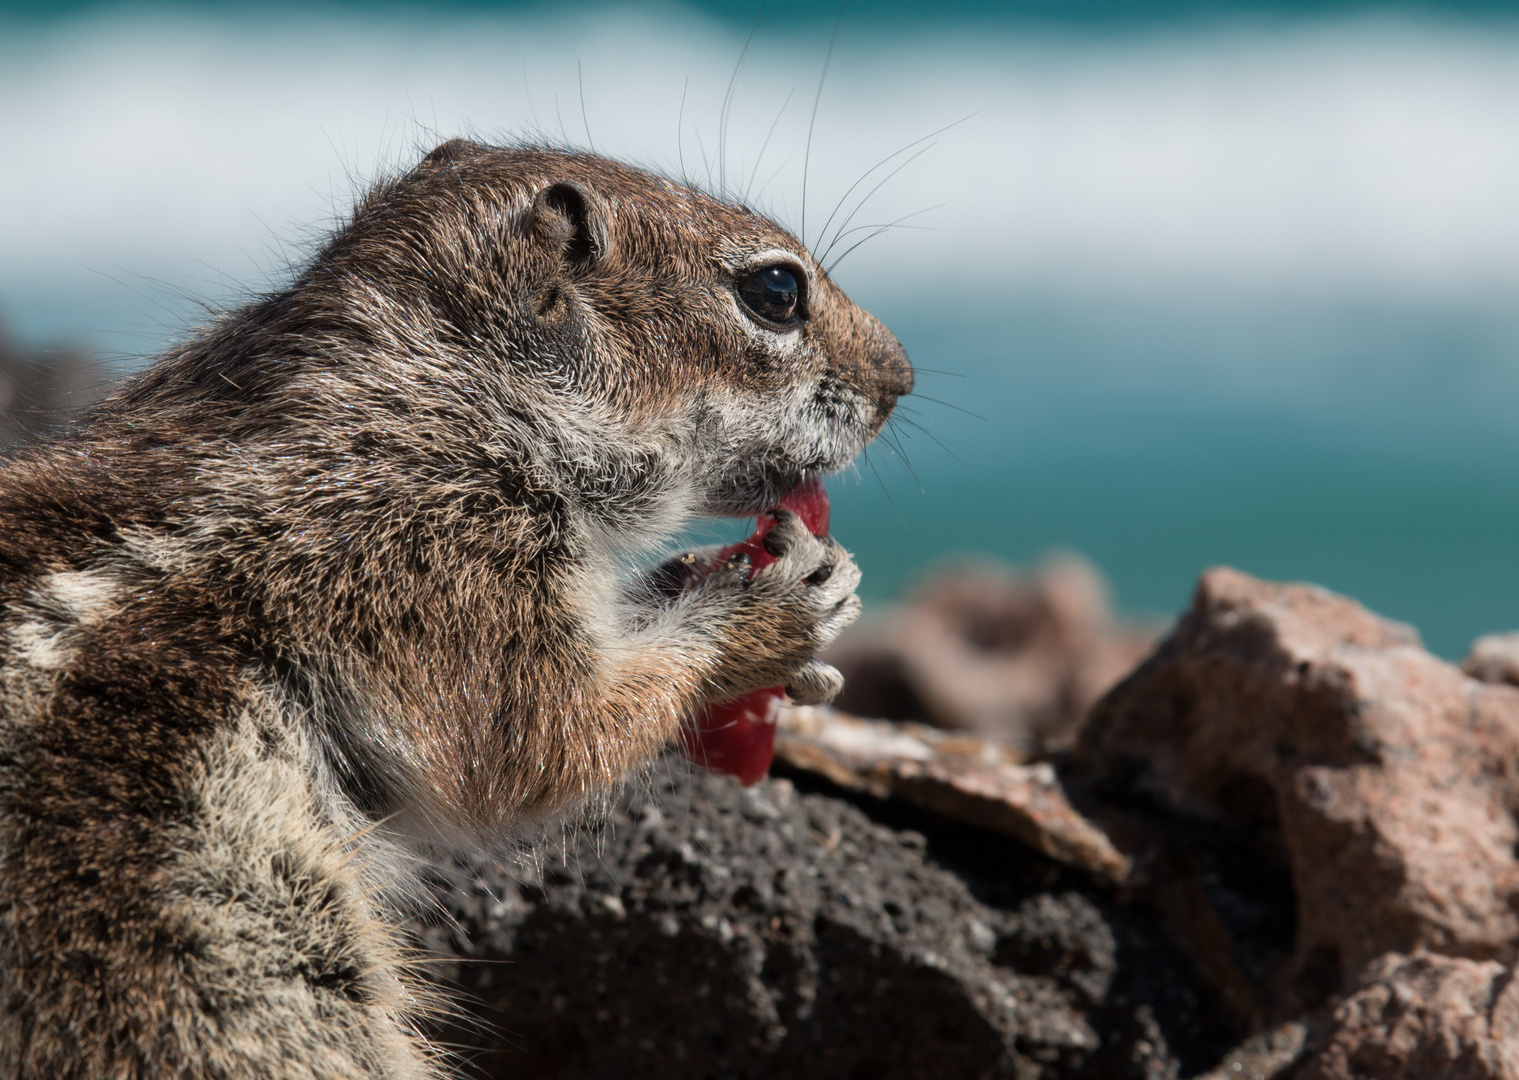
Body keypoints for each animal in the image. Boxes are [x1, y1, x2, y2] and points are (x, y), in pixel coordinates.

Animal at [0, 139, 911, 1075]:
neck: (448, 383)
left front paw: (693, 581)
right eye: (776, 292)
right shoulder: (438, 563)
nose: (902, 379)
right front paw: (772, 607)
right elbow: (546, 734)